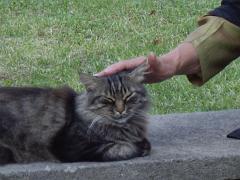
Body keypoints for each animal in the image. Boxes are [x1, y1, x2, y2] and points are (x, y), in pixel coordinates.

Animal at [0, 62, 150, 165]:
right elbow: (122, 147)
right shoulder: (73, 147)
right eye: (108, 99)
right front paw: (140, 148)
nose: (120, 110)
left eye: (128, 96)